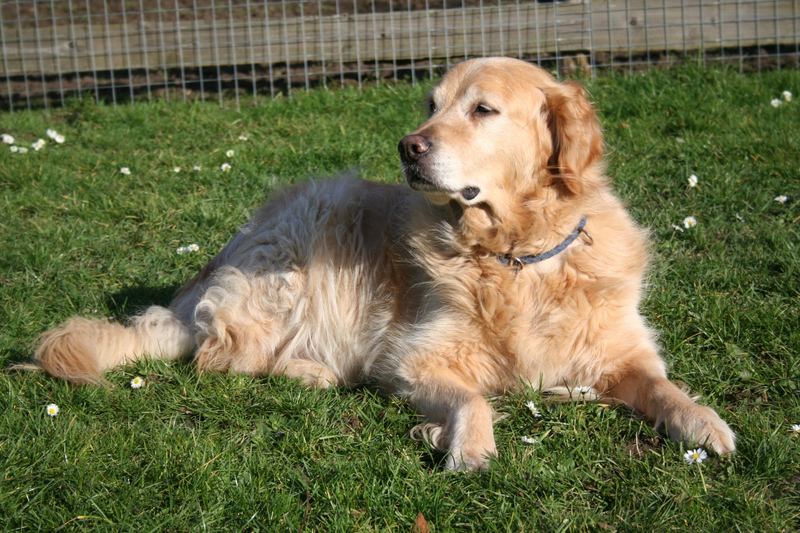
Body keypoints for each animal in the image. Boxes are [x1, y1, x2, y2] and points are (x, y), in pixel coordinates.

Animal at [32, 56, 736, 468]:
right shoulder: (411, 358)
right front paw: (464, 445)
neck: (515, 256)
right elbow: (472, 397)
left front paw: (706, 424)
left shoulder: (625, 352)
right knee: (219, 359)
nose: (407, 147)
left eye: (483, 109)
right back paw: (312, 373)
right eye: (431, 104)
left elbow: (664, 388)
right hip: (303, 239)